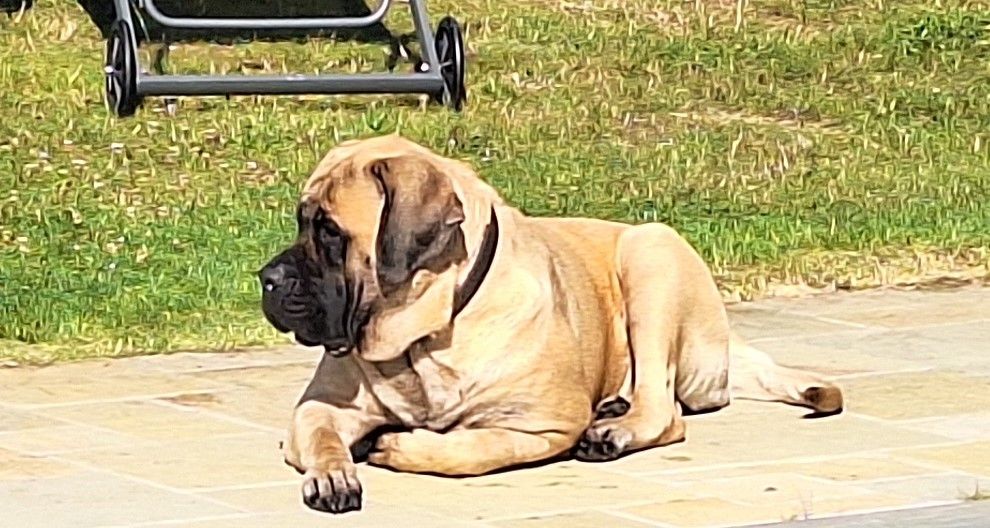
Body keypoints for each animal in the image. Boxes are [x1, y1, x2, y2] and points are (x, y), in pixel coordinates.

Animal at [258, 134, 844, 514]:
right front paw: (333, 474)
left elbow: (475, 450)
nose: (266, 277)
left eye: (330, 232)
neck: (428, 336)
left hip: (651, 253)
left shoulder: (543, 426)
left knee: (667, 411)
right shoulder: (318, 408)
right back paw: (612, 407)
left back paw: (613, 429)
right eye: (302, 220)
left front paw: (397, 446)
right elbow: (322, 436)